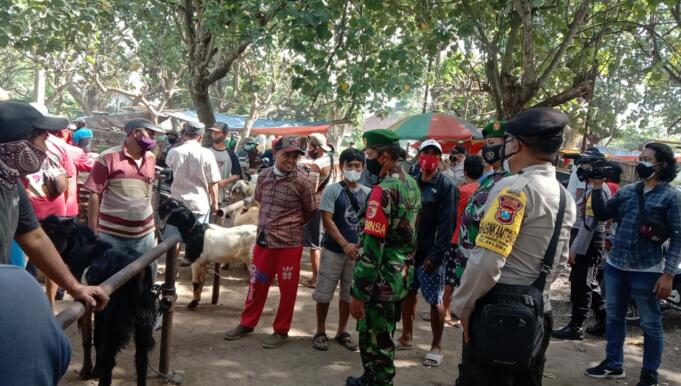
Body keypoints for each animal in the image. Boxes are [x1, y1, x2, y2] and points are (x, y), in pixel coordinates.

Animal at [42, 216, 158, 384]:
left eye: (50, 230)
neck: (83, 245)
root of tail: (139, 272)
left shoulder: (86, 305)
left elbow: (87, 339)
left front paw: (86, 371)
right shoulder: (101, 309)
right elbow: (96, 337)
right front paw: (95, 370)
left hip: (116, 323)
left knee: (109, 360)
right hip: (144, 324)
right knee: (141, 361)